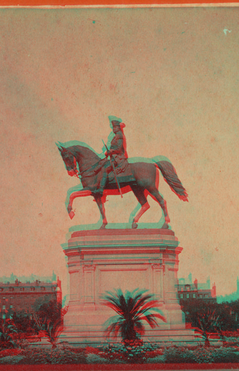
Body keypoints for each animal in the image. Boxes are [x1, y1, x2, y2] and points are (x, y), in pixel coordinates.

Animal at [57, 142, 188, 230]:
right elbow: (101, 208)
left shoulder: (91, 189)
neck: (92, 166)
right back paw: (134, 223)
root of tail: (152, 163)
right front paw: (103, 225)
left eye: (67, 156)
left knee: (161, 201)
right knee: (145, 204)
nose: (70, 172)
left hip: (150, 187)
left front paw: (70, 212)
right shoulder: (96, 194)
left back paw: (165, 224)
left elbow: (72, 194)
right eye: (62, 158)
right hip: (137, 189)